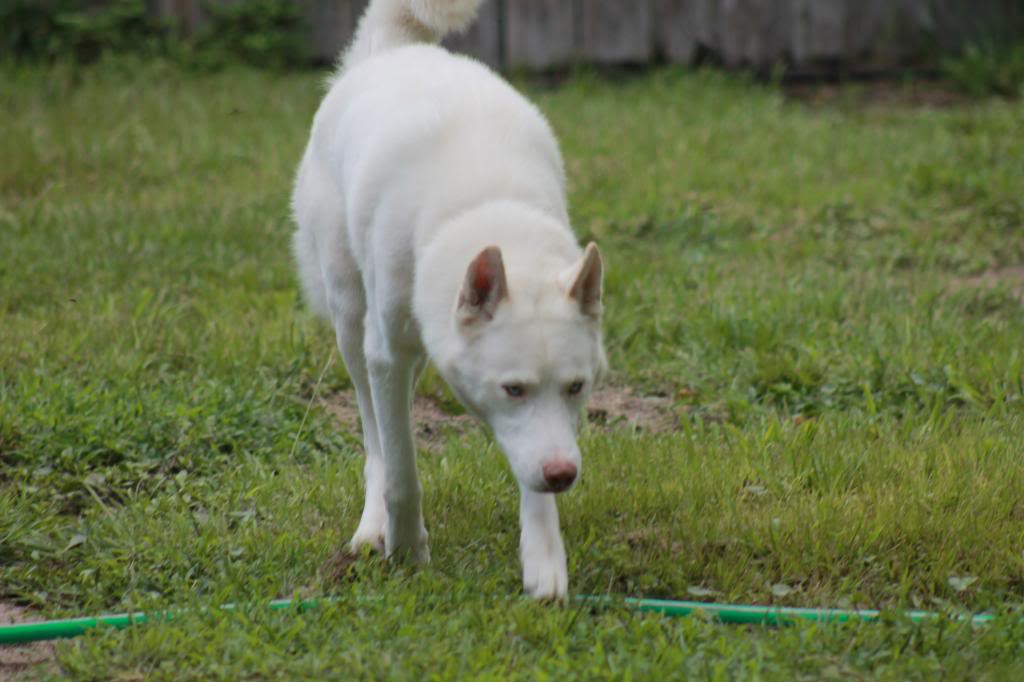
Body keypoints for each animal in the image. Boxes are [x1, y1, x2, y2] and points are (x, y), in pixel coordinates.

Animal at [292, 0, 602, 593]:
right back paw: (373, 527)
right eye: (513, 389)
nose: (564, 475)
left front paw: (543, 558)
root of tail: (392, 51)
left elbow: (529, 464)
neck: (485, 204)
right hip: (352, 324)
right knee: (375, 439)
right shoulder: (386, 354)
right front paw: (408, 550)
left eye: (576, 387)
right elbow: (401, 470)